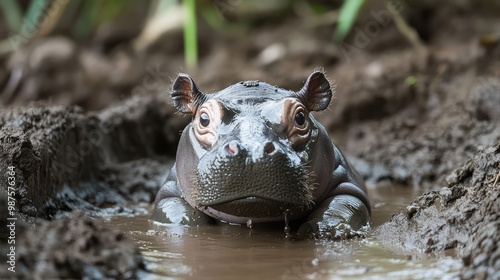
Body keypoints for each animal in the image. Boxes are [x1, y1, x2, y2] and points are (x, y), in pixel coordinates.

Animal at [152, 70, 372, 238]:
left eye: (301, 117)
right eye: (204, 119)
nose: (252, 150)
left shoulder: (347, 183)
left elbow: (344, 205)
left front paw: (324, 230)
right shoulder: (169, 191)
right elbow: (177, 211)